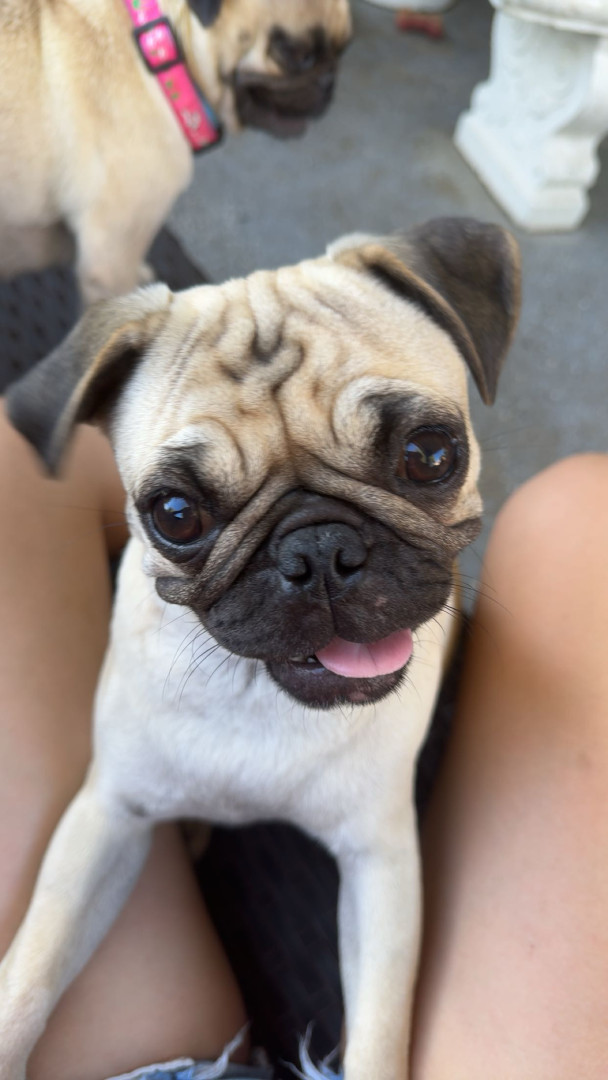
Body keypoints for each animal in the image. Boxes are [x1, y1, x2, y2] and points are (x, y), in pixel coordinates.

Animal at [0, 216, 520, 1080]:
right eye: (175, 513)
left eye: (429, 454)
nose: (317, 550)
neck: (257, 694)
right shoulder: (106, 817)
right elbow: (30, 975)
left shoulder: (379, 865)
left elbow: (379, 1034)